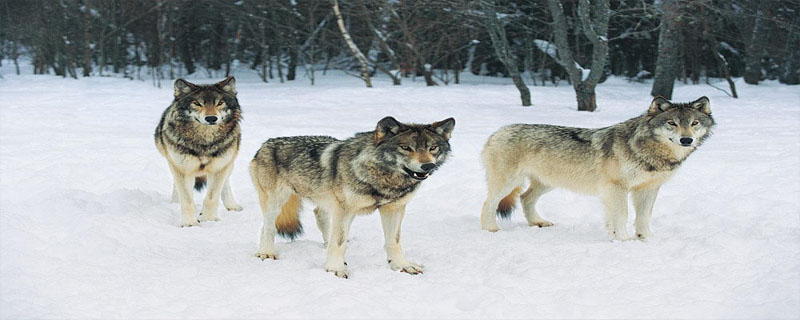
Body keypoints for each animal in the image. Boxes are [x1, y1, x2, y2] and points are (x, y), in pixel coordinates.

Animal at [155, 77, 244, 228]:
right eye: (197, 103)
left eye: (220, 103)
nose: (211, 118)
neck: (204, 141)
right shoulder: (182, 169)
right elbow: (187, 199)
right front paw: (190, 224)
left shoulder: (219, 167)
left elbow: (212, 197)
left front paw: (209, 220)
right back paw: (175, 203)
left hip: (228, 162)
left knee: (226, 184)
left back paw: (232, 205)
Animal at [253, 117, 460, 278]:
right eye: (405, 148)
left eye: (433, 148)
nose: (428, 166)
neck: (383, 178)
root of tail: (265, 143)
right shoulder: (345, 210)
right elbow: (339, 243)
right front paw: (334, 269)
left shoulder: (394, 209)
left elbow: (393, 242)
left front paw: (402, 266)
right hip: (276, 203)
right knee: (267, 227)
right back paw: (266, 253)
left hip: (326, 202)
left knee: (320, 217)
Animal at [478, 96, 716, 239]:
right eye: (672, 123)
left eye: (694, 123)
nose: (686, 140)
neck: (648, 151)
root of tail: (497, 132)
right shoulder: (617, 188)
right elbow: (623, 215)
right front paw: (624, 240)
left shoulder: (648, 189)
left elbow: (643, 217)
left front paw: (644, 240)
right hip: (509, 183)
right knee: (488, 203)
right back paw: (491, 229)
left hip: (548, 183)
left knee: (525, 198)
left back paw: (538, 222)